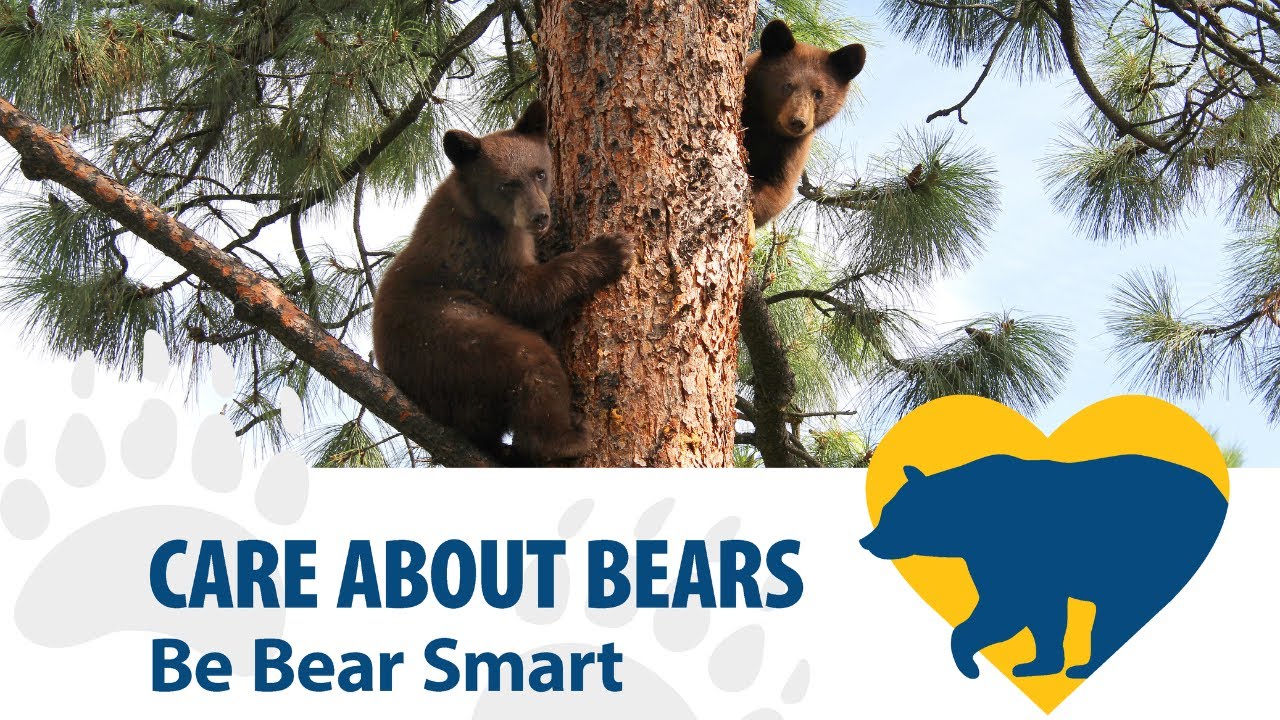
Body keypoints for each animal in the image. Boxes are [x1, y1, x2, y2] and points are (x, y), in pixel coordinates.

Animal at [372, 100, 634, 463]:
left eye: (540, 172)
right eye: (508, 184)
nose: (540, 217)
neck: (481, 211)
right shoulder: (479, 250)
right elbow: (524, 295)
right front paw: (612, 250)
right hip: (449, 343)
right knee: (529, 360)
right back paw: (564, 440)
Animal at [743, 19, 866, 227]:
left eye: (818, 93)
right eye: (787, 85)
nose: (798, 122)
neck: (768, 129)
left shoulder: (793, 150)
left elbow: (778, 191)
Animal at [859, 454, 1227, 679]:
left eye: (891, 514)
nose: (867, 540)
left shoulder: (1011, 551)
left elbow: (1009, 605)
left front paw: (969, 661)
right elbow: (1039, 614)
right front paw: (1036, 664)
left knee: (1122, 611)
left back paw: (1085, 666)